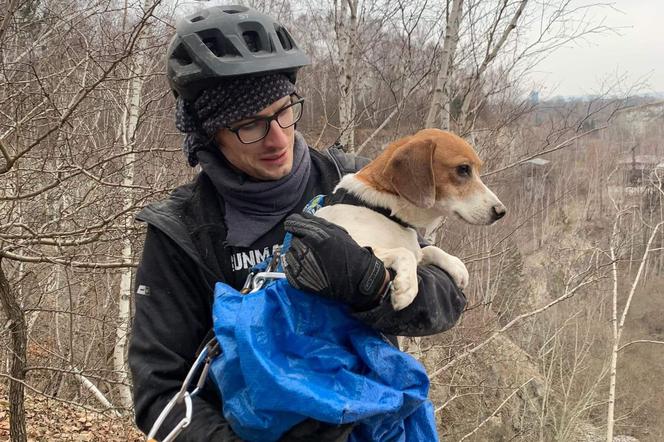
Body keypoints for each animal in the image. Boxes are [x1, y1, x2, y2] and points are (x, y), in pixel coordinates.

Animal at [314, 126, 506, 310]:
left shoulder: (418, 250)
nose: (501, 211)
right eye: (463, 169)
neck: (385, 210)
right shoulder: (358, 244)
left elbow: (429, 250)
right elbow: (405, 252)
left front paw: (455, 265)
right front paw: (407, 287)